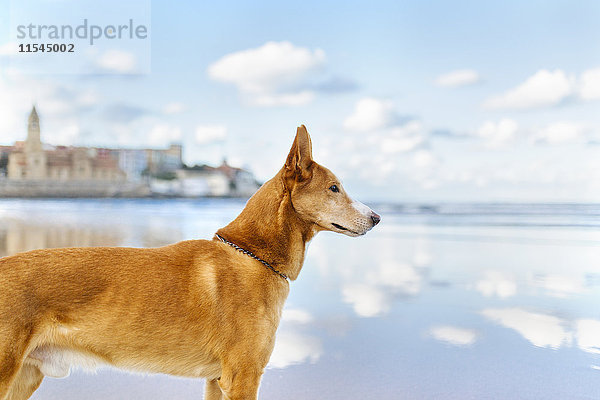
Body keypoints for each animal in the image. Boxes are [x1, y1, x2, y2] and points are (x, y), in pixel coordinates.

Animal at [0, 126, 380, 400]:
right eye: (334, 188)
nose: (377, 218)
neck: (252, 255)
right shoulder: (242, 377)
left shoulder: (216, 381)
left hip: (24, 378)